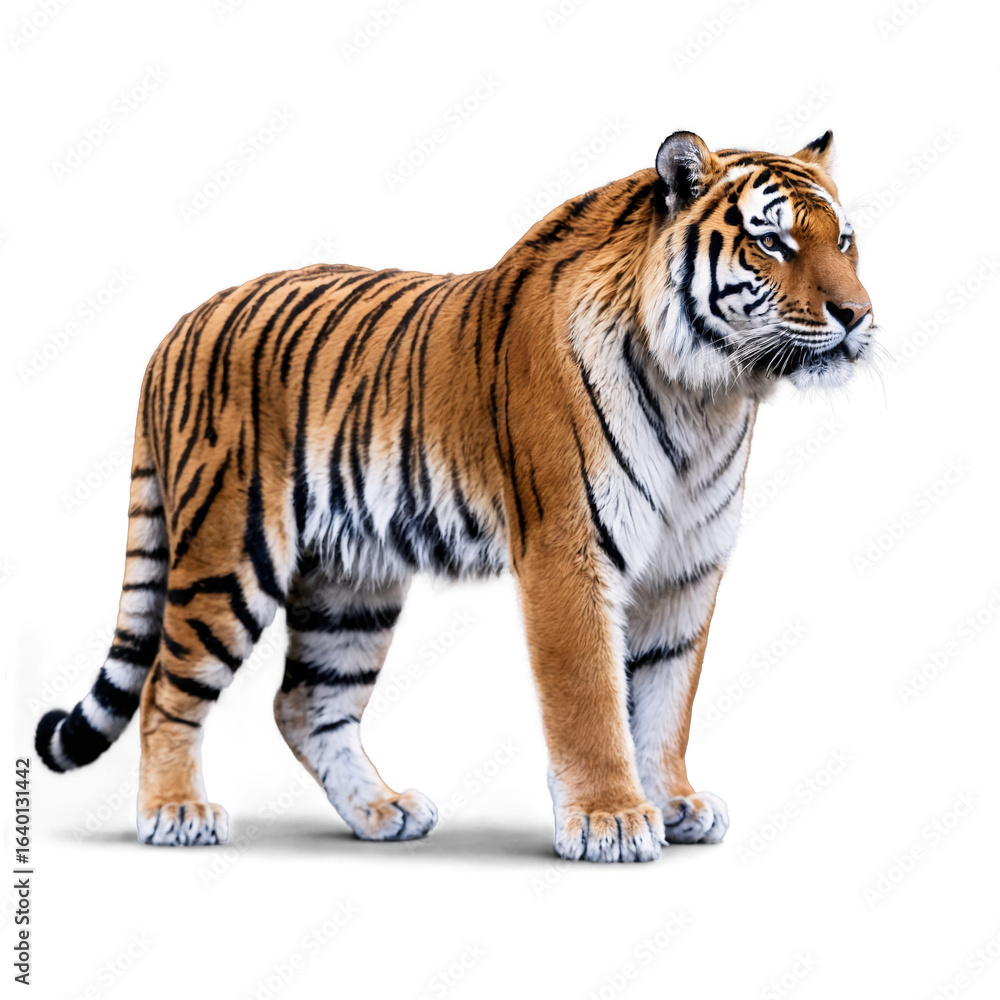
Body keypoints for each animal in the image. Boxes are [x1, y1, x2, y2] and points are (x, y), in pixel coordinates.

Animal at [35, 129, 875, 862]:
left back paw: (382, 811)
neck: (710, 394)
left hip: (351, 582)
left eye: (844, 241)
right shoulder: (568, 553)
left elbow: (667, 701)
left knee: (305, 704)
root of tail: (178, 326)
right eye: (772, 242)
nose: (857, 315)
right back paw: (175, 812)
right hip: (229, 553)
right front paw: (610, 819)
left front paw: (673, 804)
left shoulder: (686, 569)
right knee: (166, 688)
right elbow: (591, 699)